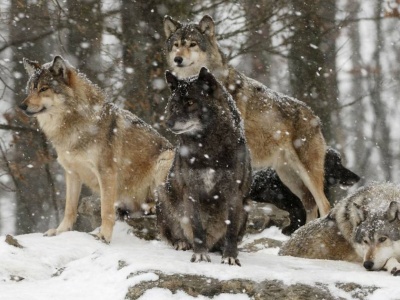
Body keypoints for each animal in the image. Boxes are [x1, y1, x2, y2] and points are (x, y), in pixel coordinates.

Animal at [19, 56, 173, 244]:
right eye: (30, 90)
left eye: (43, 89)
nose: (21, 106)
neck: (73, 126)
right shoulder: (72, 173)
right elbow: (69, 208)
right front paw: (60, 231)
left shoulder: (106, 171)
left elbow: (105, 211)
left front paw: (104, 236)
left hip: (166, 159)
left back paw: (150, 207)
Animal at [155, 67, 250, 264]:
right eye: (173, 104)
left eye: (190, 102)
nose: (168, 123)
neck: (207, 149)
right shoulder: (192, 190)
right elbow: (197, 227)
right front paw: (200, 254)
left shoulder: (234, 193)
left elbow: (231, 229)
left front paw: (230, 257)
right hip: (162, 194)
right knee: (174, 235)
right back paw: (182, 243)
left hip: (247, 206)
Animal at [164, 15, 330, 224]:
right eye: (176, 45)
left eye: (192, 44)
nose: (177, 59)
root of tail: (314, 116)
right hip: (289, 177)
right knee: (310, 204)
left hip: (306, 172)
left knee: (325, 204)